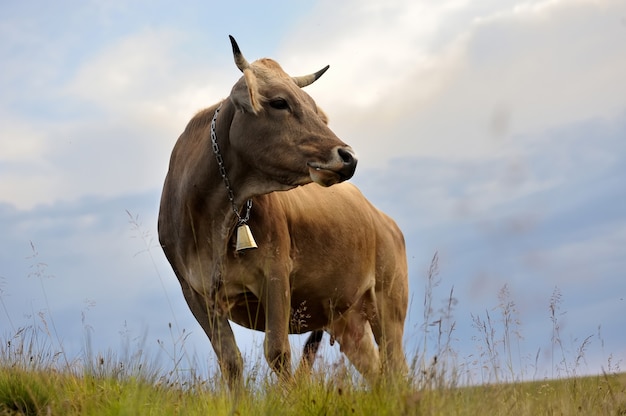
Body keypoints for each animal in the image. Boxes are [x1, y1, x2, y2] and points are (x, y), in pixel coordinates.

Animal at [158, 35, 408, 386]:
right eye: (279, 102)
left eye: (316, 110)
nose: (348, 157)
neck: (213, 219)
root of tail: (383, 220)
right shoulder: (195, 293)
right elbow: (230, 362)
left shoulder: (275, 273)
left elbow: (277, 353)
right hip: (348, 319)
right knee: (377, 372)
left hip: (388, 303)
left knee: (396, 369)